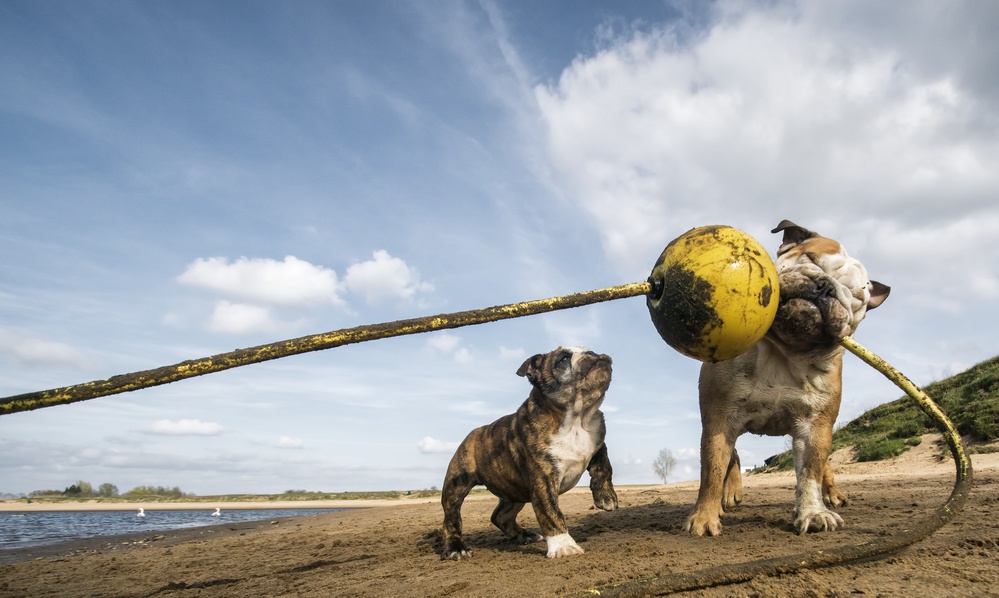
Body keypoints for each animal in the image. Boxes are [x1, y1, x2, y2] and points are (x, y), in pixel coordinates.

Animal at [440, 350, 616, 560]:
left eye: (591, 350)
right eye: (563, 359)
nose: (593, 354)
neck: (576, 419)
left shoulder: (598, 443)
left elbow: (604, 467)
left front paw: (606, 497)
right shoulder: (543, 479)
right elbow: (550, 512)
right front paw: (563, 545)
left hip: (515, 492)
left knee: (500, 516)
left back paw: (524, 535)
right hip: (456, 485)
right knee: (451, 518)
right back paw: (456, 548)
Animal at [688, 221, 892, 540]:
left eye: (856, 298)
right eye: (809, 258)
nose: (827, 287)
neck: (784, 351)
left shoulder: (816, 427)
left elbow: (810, 473)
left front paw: (813, 512)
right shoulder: (719, 419)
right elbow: (713, 470)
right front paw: (704, 516)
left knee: (824, 464)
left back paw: (832, 494)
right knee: (732, 459)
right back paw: (729, 495)